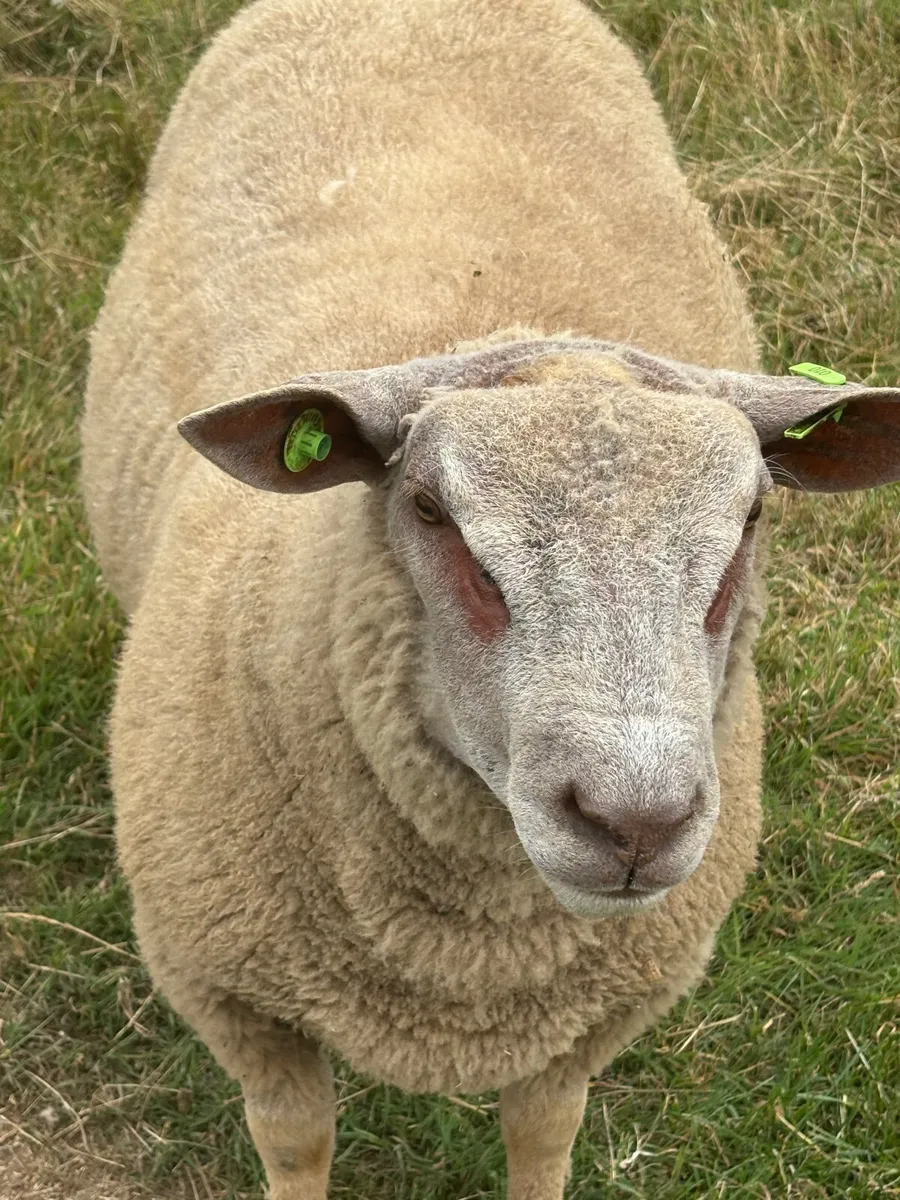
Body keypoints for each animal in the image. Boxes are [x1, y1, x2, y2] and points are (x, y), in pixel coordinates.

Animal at [80, 0, 900, 1196]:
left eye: (752, 515)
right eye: (429, 509)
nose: (634, 819)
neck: (463, 964)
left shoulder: (594, 1011)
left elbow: (543, 1131)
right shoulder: (231, 993)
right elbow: (297, 1140)